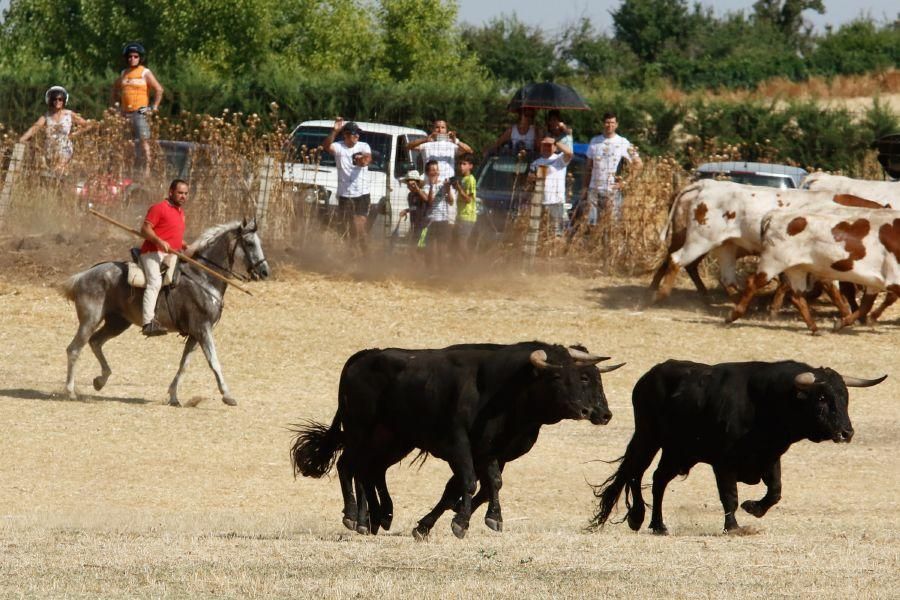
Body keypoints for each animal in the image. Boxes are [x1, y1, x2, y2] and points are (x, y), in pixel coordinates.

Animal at [61, 218, 268, 406]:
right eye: (250, 243)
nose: (265, 272)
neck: (203, 277)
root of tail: (83, 275)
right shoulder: (203, 329)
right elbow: (214, 361)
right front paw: (227, 395)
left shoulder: (195, 334)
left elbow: (184, 365)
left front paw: (174, 396)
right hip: (90, 319)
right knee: (74, 349)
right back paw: (70, 392)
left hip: (117, 323)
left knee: (96, 342)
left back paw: (100, 380)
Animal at [292, 342, 624, 540]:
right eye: (560, 377)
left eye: (593, 376)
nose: (600, 413)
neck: (502, 389)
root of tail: (363, 356)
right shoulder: (458, 445)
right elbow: (469, 483)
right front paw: (459, 523)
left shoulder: (492, 451)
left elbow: (488, 485)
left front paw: (478, 519)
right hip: (360, 431)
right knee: (350, 466)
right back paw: (355, 516)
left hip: (392, 439)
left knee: (371, 470)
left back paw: (376, 517)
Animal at [592, 360, 884, 536]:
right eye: (822, 398)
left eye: (845, 397)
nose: (846, 432)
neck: (765, 402)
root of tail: (648, 377)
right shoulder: (724, 463)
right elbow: (729, 495)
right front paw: (733, 527)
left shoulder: (770, 457)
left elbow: (775, 492)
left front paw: (754, 508)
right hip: (648, 437)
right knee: (635, 473)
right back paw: (638, 517)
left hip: (678, 452)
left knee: (658, 479)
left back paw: (658, 525)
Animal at [652, 177, 888, 300]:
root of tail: (705, 184)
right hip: (699, 240)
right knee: (676, 260)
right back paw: (660, 294)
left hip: (722, 245)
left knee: (721, 276)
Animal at [728, 206, 900, 332]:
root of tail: (776, 215)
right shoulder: (893, 280)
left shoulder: (875, 282)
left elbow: (865, 306)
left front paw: (841, 323)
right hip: (773, 263)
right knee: (752, 283)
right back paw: (732, 315)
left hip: (796, 269)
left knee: (797, 297)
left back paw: (814, 328)